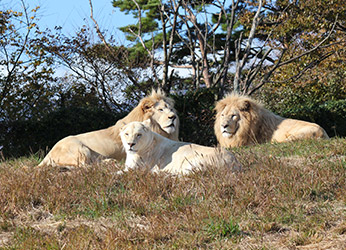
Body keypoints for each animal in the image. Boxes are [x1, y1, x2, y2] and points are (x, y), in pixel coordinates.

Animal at [38, 89, 180, 167]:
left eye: (171, 109)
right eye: (161, 109)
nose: (173, 117)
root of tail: (48, 155)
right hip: (80, 149)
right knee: (84, 166)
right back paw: (109, 162)